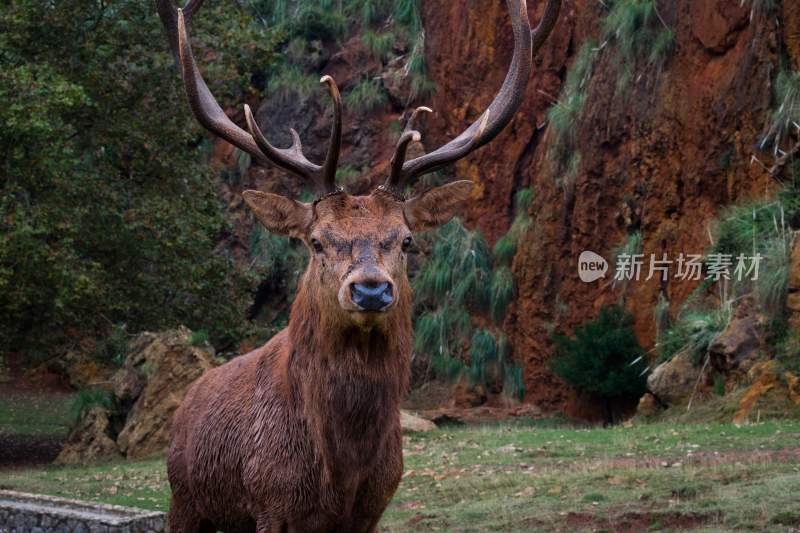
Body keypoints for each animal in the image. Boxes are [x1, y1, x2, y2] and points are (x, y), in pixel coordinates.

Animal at [156, 0, 564, 528]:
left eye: (406, 240)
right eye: (315, 241)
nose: (371, 288)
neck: (342, 471)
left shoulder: (374, 505)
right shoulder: (270, 502)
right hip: (183, 499)